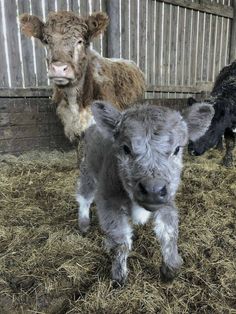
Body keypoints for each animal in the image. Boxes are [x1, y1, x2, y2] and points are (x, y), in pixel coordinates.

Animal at [76, 101, 214, 284]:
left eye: (177, 149)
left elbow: (170, 234)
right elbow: (121, 241)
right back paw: (84, 223)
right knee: (84, 197)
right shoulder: (108, 201)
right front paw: (119, 275)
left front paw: (170, 269)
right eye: (126, 148)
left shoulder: (167, 202)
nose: (153, 190)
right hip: (88, 170)